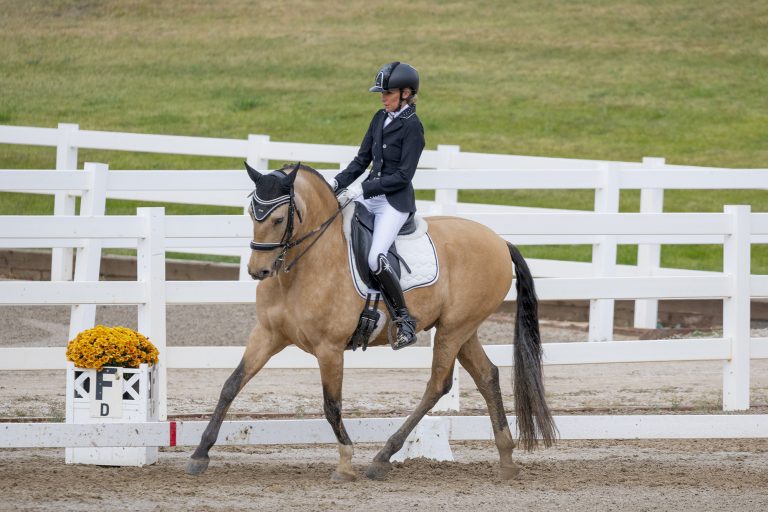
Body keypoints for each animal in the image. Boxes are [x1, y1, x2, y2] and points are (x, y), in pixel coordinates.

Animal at [186, 162, 557, 481]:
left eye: (278, 219)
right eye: (252, 213)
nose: (257, 271)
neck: (304, 266)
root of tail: (499, 241)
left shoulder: (329, 348)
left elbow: (331, 405)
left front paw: (345, 463)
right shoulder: (267, 334)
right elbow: (231, 385)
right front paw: (200, 454)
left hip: (454, 329)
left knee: (438, 385)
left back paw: (382, 458)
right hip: (462, 329)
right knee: (487, 376)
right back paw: (506, 460)